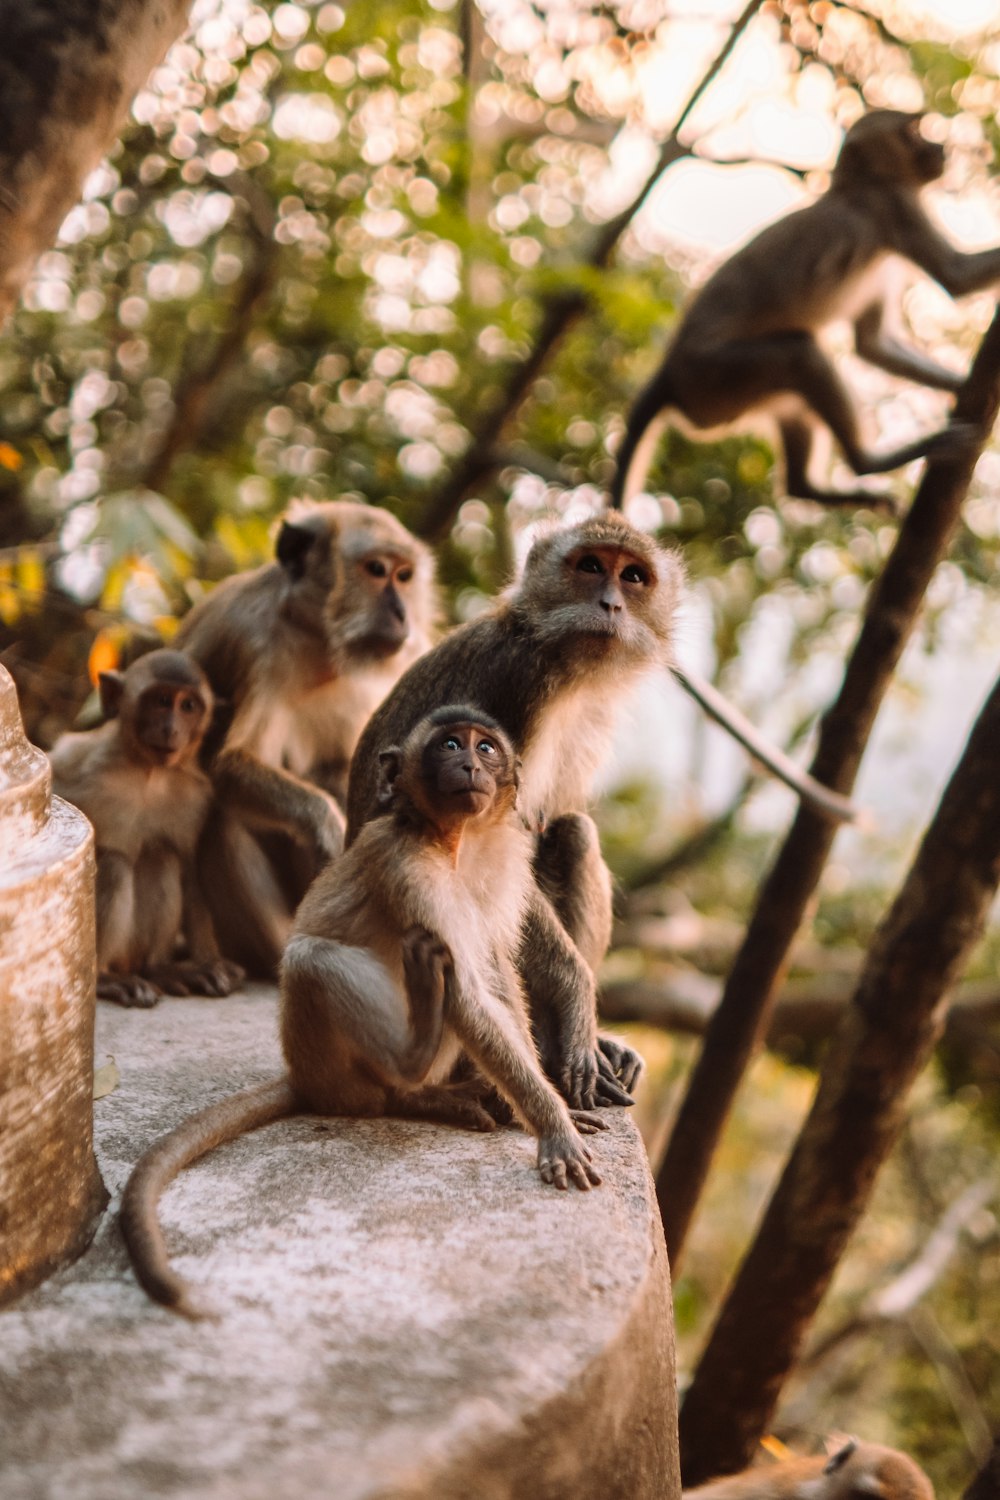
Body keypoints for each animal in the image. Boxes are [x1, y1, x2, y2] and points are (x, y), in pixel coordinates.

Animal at [49, 648, 245, 1008]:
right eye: (162, 700)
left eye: (188, 706)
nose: (170, 728)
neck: (147, 772)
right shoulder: (76, 760)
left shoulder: (195, 798)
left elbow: (191, 870)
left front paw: (210, 961)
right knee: (114, 863)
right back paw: (106, 980)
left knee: (161, 856)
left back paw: (159, 970)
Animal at [122, 708, 611, 1320]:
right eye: (450, 744)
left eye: (486, 747)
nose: (470, 766)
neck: (454, 842)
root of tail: (303, 1077)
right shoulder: (407, 870)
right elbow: (467, 994)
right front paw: (552, 1125)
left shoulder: (505, 865)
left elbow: (497, 974)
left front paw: (541, 1106)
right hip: (325, 1056)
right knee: (316, 963)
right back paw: (412, 1076)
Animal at [175, 498, 437, 978]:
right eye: (376, 570)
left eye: (404, 576)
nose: (401, 613)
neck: (320, 642)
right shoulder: (257, 641)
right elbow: (231, 763)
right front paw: (325, 823)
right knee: (226, 815)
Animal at [346, 516, 689, 1116]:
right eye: (591, 566)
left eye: (634, 577)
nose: (610, 603)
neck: (560, 661)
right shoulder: (519, 686)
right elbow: (508, 853)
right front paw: (576, 1001)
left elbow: (547, 828)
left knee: (574, 831)